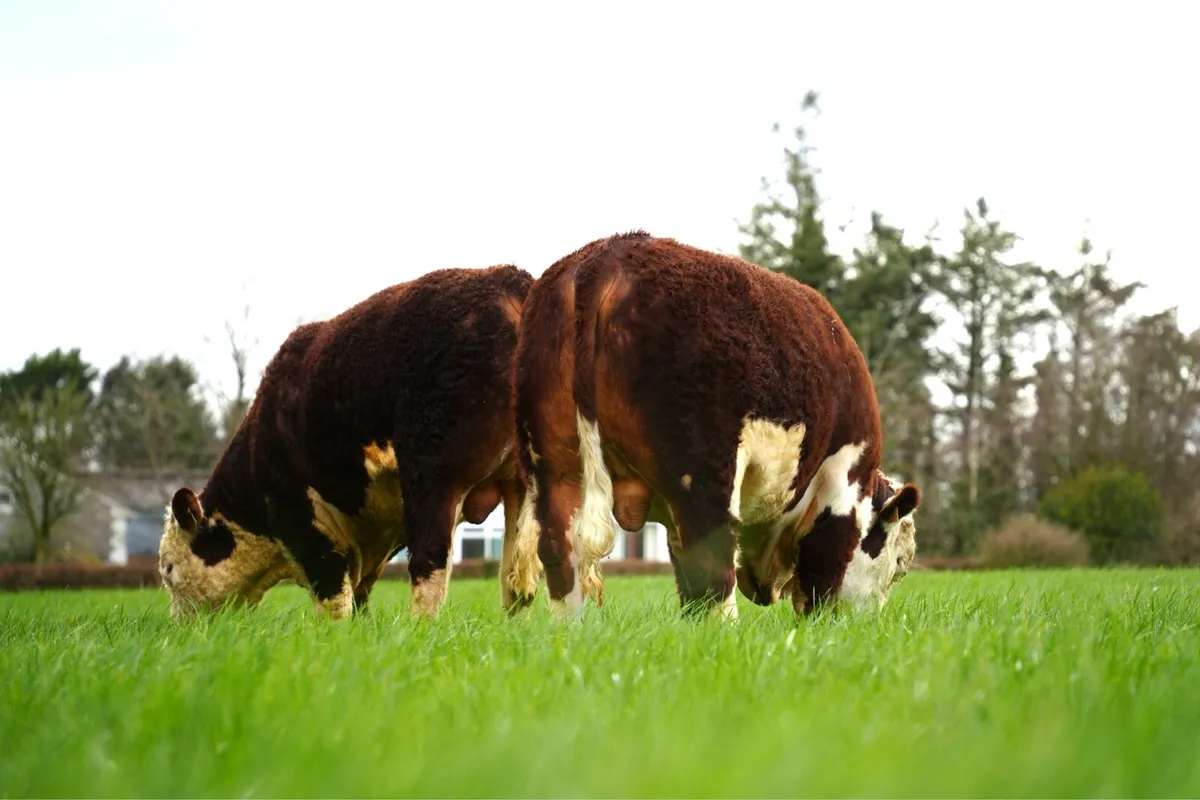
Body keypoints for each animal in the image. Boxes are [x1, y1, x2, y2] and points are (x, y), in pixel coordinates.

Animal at [158, 265, 534, 620]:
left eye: (168, 569)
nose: (178, 624)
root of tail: (509, 280)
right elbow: (359, 598)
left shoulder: (300, 519)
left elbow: (333, 596)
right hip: (524, 479)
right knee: (519, 576)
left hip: (433, 476)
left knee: (430, 562)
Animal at [505, 231, 922, 622]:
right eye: (900, 564)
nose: (870, 619)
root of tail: (606, 255)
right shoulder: (840, 481)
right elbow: (822, 575)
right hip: (703, 472)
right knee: (712, 560)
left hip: (553, 465)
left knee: (561, 554)